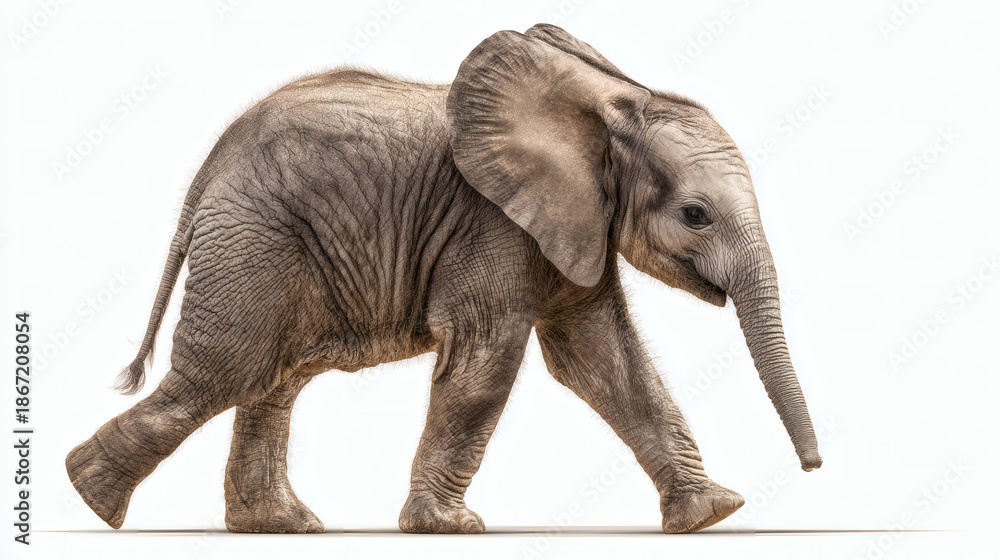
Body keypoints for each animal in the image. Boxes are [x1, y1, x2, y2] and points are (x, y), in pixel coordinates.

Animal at [66, 23, 822, 535]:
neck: (609, 102)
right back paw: (91, 496)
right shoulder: (493, 222)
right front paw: (450, 530)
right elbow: (489, 358)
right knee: (228, 367)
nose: (813, 469)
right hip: (257, 238)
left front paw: (711, 514)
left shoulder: (573, 226)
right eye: (696, 215)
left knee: (269, 377)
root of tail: (207, 170)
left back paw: (280, 526)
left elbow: (603, 358)